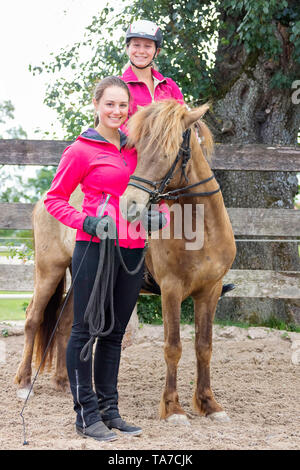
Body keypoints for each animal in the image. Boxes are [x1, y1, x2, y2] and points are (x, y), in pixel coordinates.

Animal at [120, 101, 237, 424]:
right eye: (137, 149)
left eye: (167, 152)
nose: (129, 205)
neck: (201, 229)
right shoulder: (171, 290)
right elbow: (173, 347)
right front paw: (173, 408)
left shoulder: (210, 291)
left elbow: (204, 346)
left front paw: (209, 404)